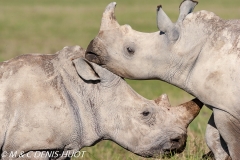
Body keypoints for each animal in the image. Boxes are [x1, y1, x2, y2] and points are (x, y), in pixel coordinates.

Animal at [85, 0, 239, 159]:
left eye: (129, 50)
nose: (90, 51)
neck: (186, 47)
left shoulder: (225, 108)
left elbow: (233, 143)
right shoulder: (221, 105)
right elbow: (213, 136)